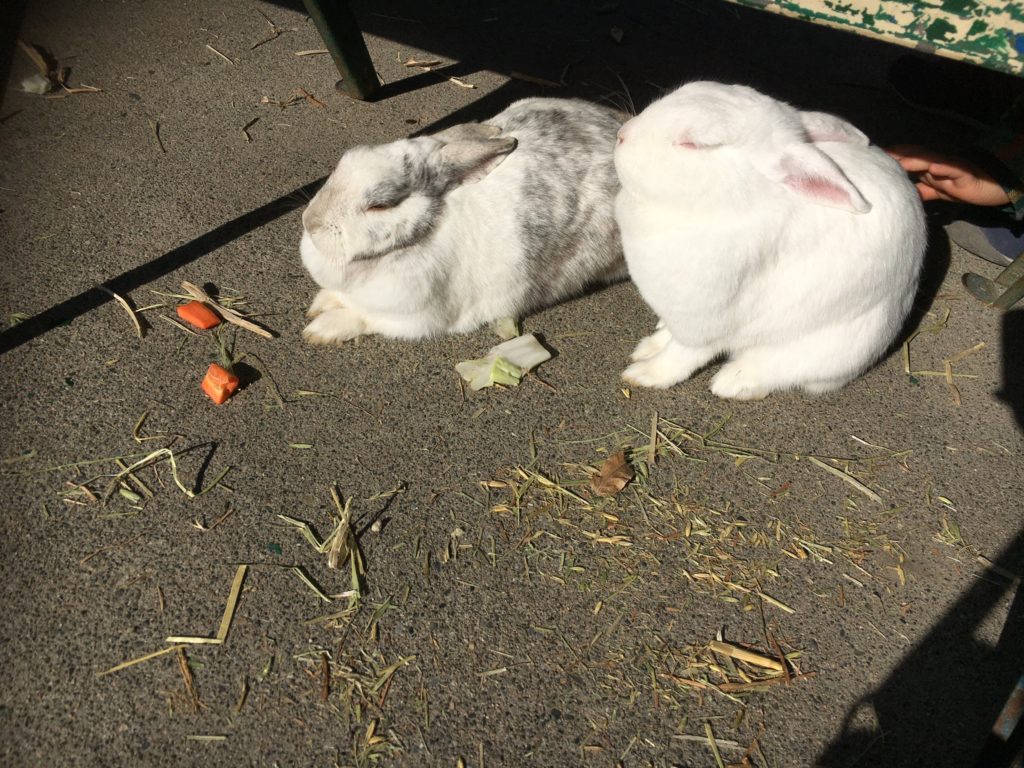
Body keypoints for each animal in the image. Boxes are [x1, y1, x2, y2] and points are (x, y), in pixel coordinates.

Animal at [299, 97, 626, 344]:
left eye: (380, 205)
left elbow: (361, 318)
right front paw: (320, 304)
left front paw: (319, 330)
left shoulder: (409, 319)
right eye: (345, 160)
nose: (309, 221)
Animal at [614, 81, 929, 399]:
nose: (622, 135)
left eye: (694, 144)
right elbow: (669, 337)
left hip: (828, 351)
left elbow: (681, 356)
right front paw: (648, 346)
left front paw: (643, 374)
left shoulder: (705, 325)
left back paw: (732, 382)